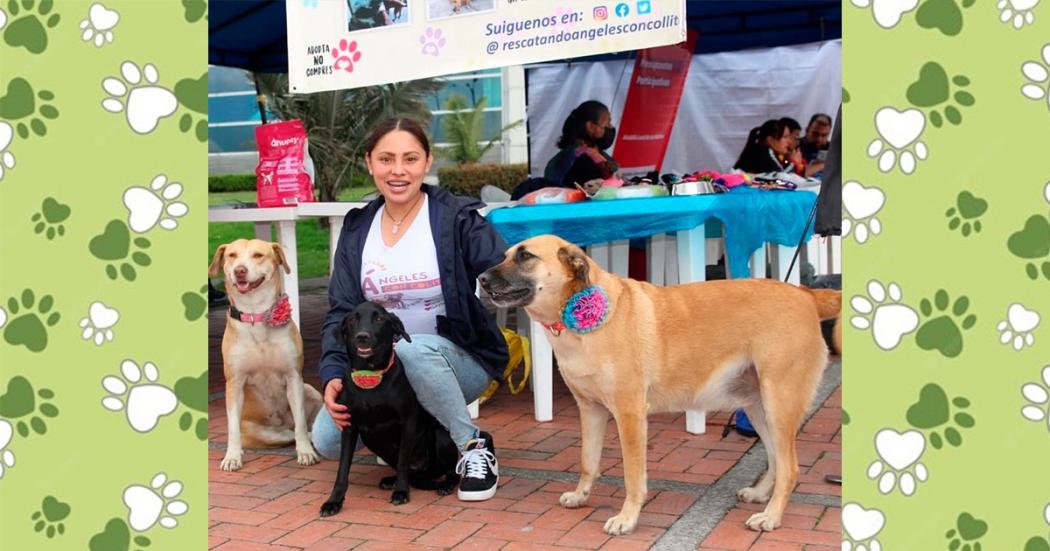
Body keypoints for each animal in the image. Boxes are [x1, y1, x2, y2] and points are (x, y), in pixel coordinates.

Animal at [208, 238, 323, 470]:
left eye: (258, 255)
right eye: (232, 255)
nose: (240, 270)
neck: (256, 314)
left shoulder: (294, 377)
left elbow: (300, 421)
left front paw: (305, 452)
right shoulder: (234, 383)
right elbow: (232, 427)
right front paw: (232, 457)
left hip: (310, 390)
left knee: (302, 427)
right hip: (261, 432)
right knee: (287, 434)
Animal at [315, 300, 455, 516]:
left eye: (380, 318)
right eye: (353, 319)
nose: (362, 336)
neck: (370, 374)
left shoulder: (408, 421)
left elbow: (403, 459)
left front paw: (401, 492)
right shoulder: (349, 426)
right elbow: (342, 469)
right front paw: (334, 501)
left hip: (441, 437)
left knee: (451, 470)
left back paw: (445, 484)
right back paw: (391, 480)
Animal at [480, 235, 839, 533]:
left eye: (526, 256)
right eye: (506, 254)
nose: (480, 279)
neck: (580, 317)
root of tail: (805, 294)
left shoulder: (629, 414)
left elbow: (632, 476)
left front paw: (627, 518)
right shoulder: (590, 410)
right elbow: (588, 462)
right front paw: (582, 496)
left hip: (779, 404)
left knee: (791, 467)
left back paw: (771, 517)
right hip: (758, 407)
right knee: (777, 460)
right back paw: (761, 495)